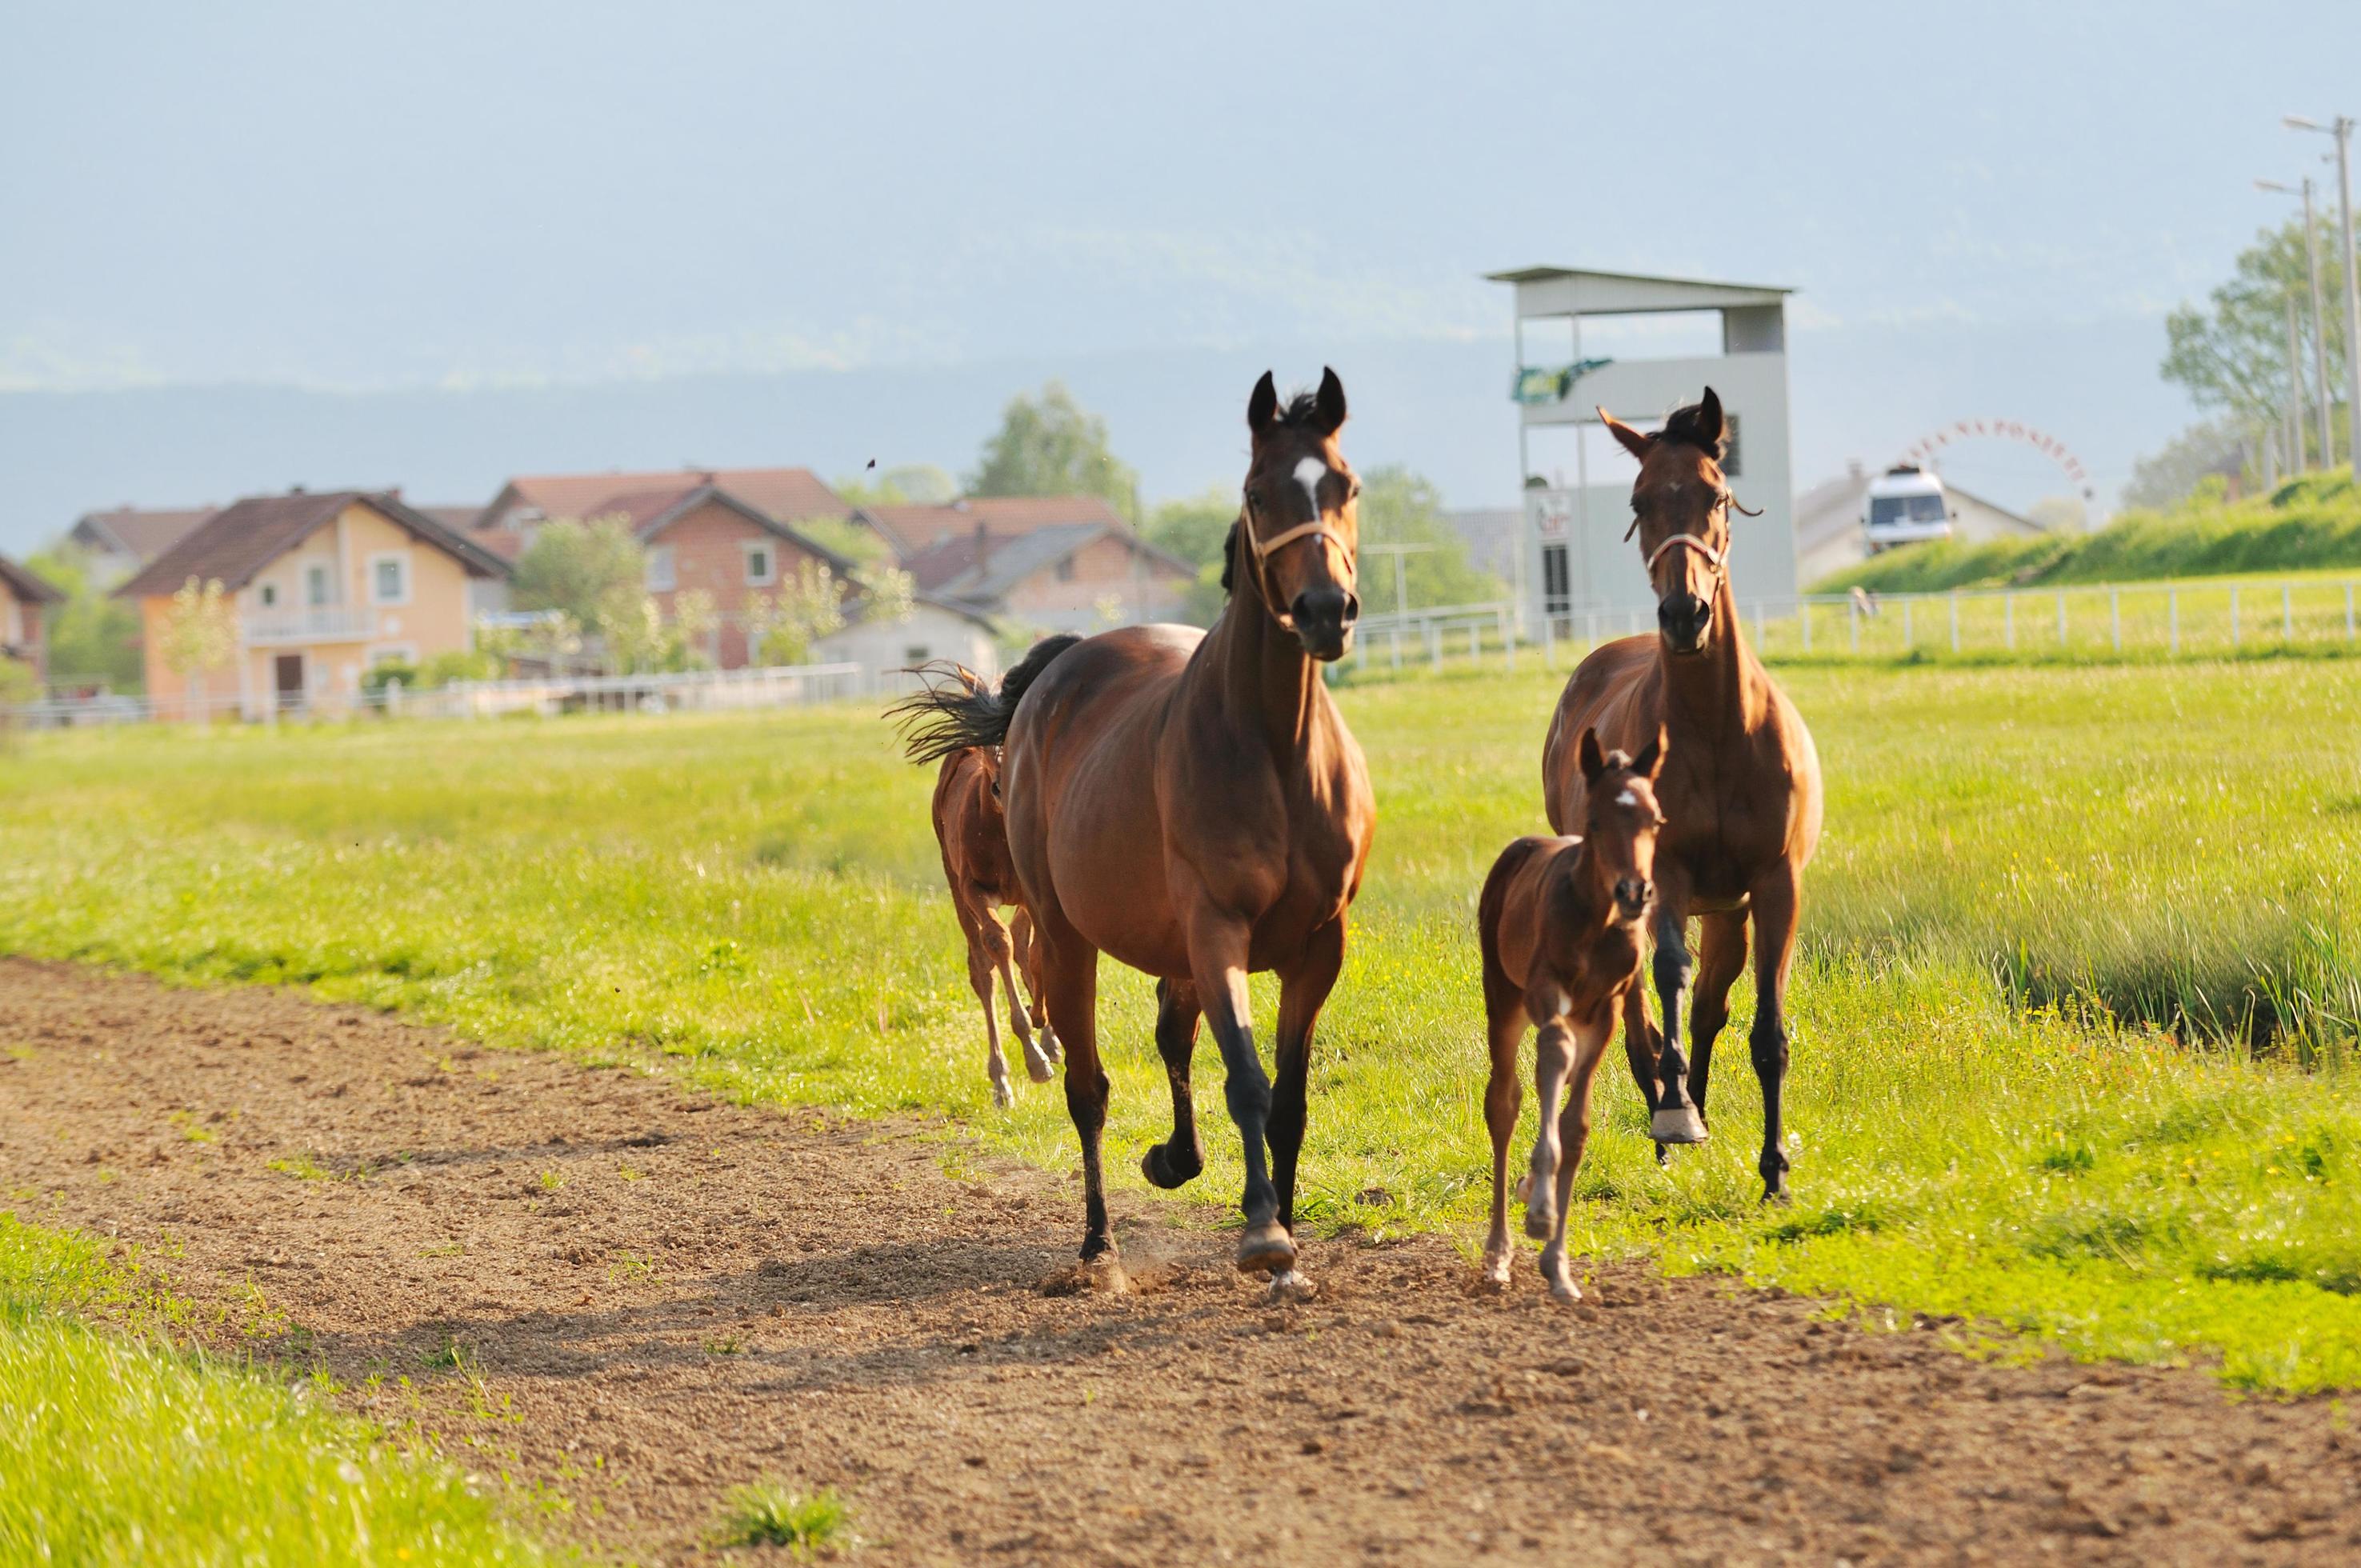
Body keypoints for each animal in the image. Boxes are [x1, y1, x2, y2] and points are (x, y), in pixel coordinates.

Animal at [887, 370, 1379, 1294]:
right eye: (1258, 492)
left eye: (1345, 485)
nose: (1324, 610)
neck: (1273, 750)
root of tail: (1060, 666)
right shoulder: (1215, 927)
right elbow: (1247, 1081)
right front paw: (1264, 1233)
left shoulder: (1316, 945)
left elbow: (1289, 1100)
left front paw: (1287, 1251)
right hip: (1062, 930)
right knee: (1086, 1083)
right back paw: (1096, 1245)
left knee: (1168, 1039)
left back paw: (1173, 1160)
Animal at [1473, 722, 1662, 1294]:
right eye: (1596, 821)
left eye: (1655, 819)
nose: (1636, 891)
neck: (1597, 923)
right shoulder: (1544, 991)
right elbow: (1551, 1060)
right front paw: (1539, 1213)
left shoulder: (1607, 1009)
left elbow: (1576, 1125)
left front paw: (1557, 1263)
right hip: (1504, 997)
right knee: (1504, 1101)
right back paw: (1498, 1253)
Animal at [1548, 390, 1823, 1199]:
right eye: (1640, 500)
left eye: (1717, 495)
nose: (1683, 615)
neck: (1717, 730)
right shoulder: (1664, 873)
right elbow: (1667, 975)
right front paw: (1672, 1115)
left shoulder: (1773, 883)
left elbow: (1760, 1024)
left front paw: (1774, 1170)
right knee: (1641, 1001)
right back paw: (1666, 1103)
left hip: (1726, 910)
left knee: (1707, 1009)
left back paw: (1693, 1096)